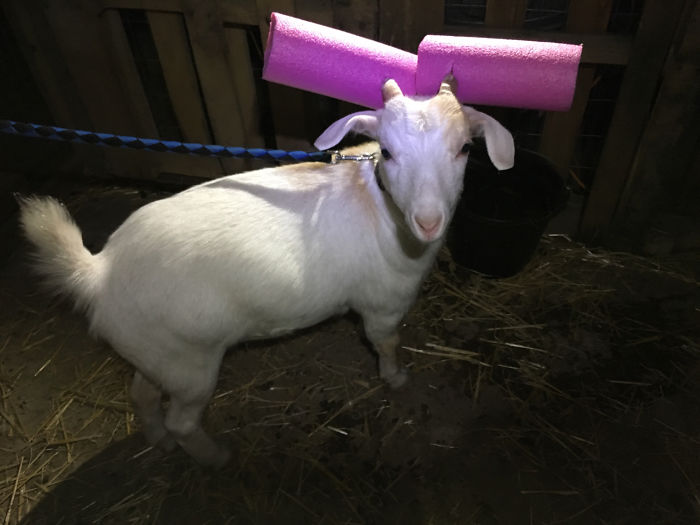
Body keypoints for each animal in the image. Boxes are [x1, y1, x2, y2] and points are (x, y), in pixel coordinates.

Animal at [18, 76, 514, 467]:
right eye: (389, 153)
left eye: (464, 148)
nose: (428, 221)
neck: (381, 208)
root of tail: (99, 270)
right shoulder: (383, 304)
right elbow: (386, 343)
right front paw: (396, 378)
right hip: (190, 363)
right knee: (182, 420)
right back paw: (215, 457)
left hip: (157, 351)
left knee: (142, 394)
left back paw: (159, 442)